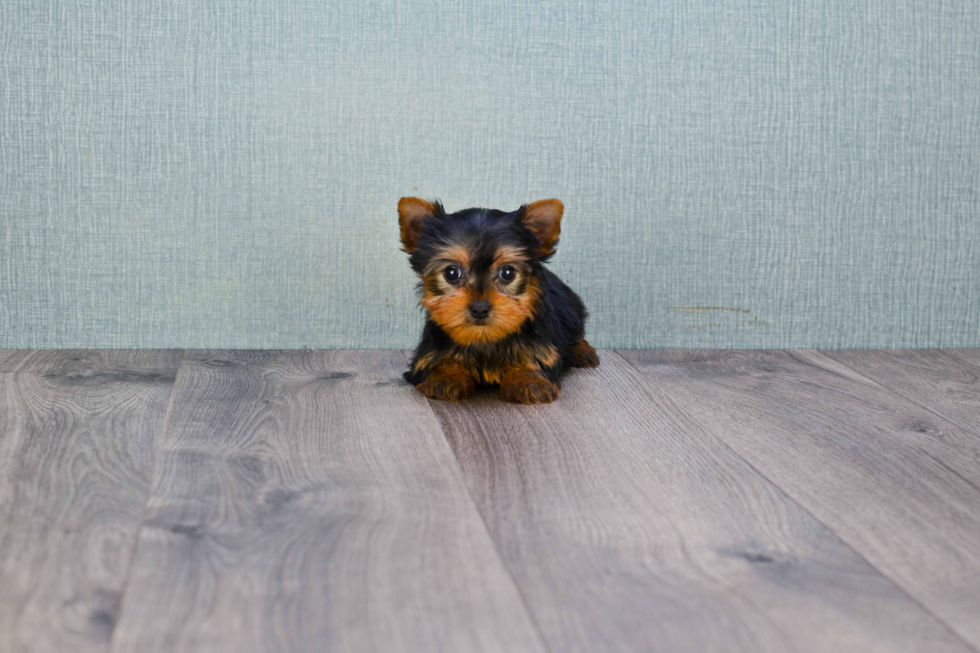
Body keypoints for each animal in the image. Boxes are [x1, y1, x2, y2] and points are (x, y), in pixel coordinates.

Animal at [398, 196, 596, 402]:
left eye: (508, 273)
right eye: (451, 273)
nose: (479, 308)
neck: (483, 339)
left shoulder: (542, 349)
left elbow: (534, 359)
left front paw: (529, 380)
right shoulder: (429, 354)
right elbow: (440, 363)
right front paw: (445, 377)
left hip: (571, 309)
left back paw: (584, 351)